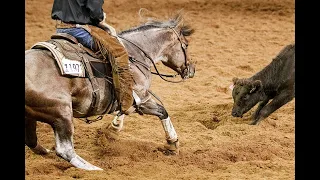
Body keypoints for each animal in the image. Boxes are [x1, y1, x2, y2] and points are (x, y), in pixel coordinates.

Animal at [25, 11, 195, 170]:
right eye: (186, 45)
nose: (191, 70)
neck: (135, 53)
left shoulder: (131, 97)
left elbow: (125, 110)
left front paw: (111, 131)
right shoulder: (142, 97)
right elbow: (162, 111)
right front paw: (172, 144)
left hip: (33, 116)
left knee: (32, 141)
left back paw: (46, 152)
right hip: (62, 113)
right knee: (65, 150)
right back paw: (95, 169)